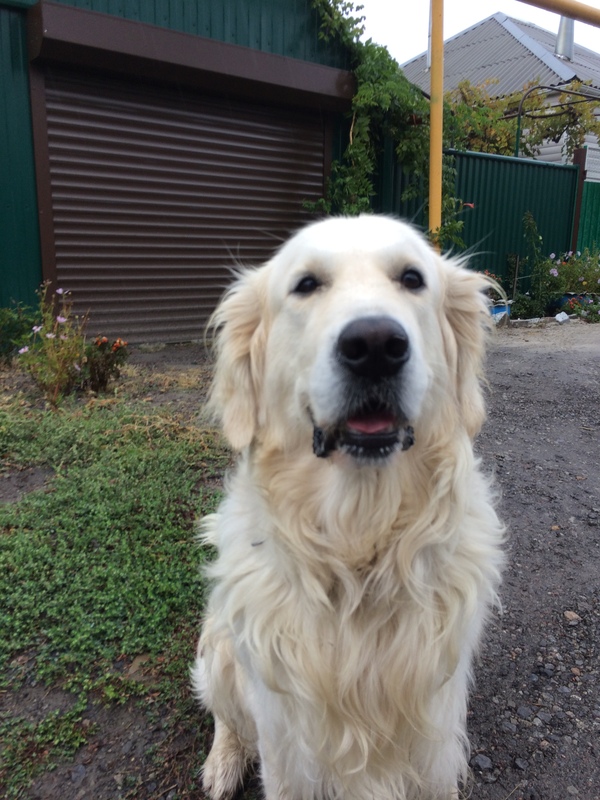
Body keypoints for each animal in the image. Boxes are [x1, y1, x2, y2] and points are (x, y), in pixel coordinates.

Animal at [192, 214, 502, 800]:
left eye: (412, 278)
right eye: (306, 284)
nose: (376, 344)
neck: (360, 543)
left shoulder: (435, 728)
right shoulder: (285, 737)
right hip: (219, 646)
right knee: (226, 716)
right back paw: (223, 762)